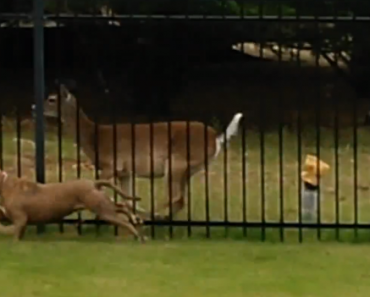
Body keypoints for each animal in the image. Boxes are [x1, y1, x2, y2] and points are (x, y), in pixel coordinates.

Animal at [0, 170, 146, 242]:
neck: (6, 184)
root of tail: (93, 183)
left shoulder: (20, 219)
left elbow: (15, 235)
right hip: (104, 205)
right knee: (122, 207)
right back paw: (135, 219)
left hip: (103, 211)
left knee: (124, 222)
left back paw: (138, 236)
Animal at [36, 84, 243, 219]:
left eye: (52, 99)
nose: (33, 106)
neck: (94, 137)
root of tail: (216, 139)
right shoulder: (125, 172)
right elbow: (128, 198)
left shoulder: (111, 164)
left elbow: (100, 188)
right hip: (188, 168)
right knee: (180, 199)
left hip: (177, 162)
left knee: (177, 197)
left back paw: (154, 214)